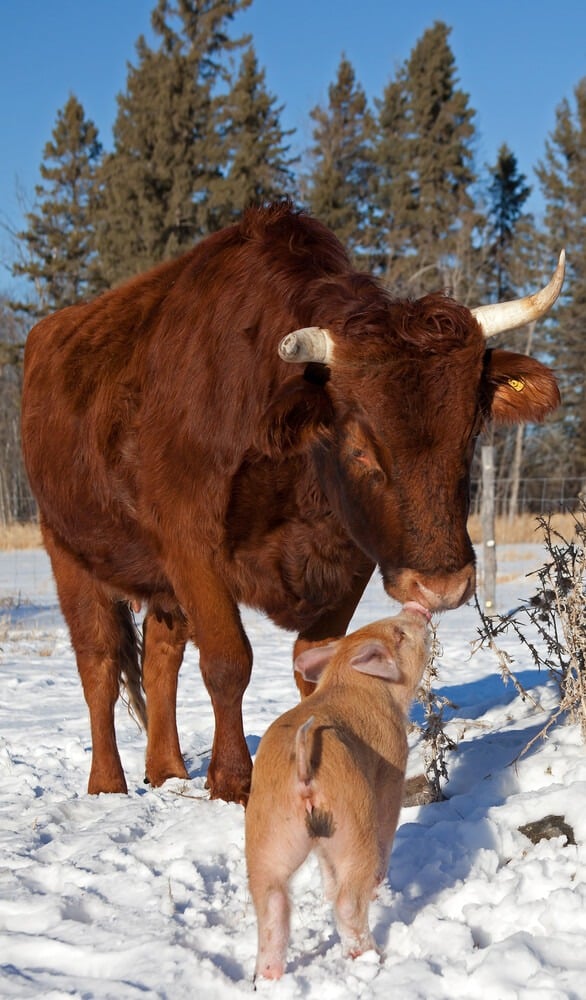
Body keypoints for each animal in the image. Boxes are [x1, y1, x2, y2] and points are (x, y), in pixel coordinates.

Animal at [20, 201, 563, 804]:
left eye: (469, 435)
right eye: (359, 445)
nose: (441, 585)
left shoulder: (352, 556)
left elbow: (313, 663)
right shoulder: (192, 547)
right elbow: (228, 661)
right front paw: (232, 781)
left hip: (161, 585)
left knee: (161, 657)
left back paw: (168, 771)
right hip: (68, 550)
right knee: (98, 664)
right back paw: (108, 784)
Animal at [245, 603, 431, 980]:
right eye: (399, 634)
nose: (416, 607)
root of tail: (304, 772)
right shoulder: (393, 763)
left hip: (268, 831)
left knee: (272, 903)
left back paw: (265, 980)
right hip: (353, 819)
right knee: (349, 899)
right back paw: (373, 956)